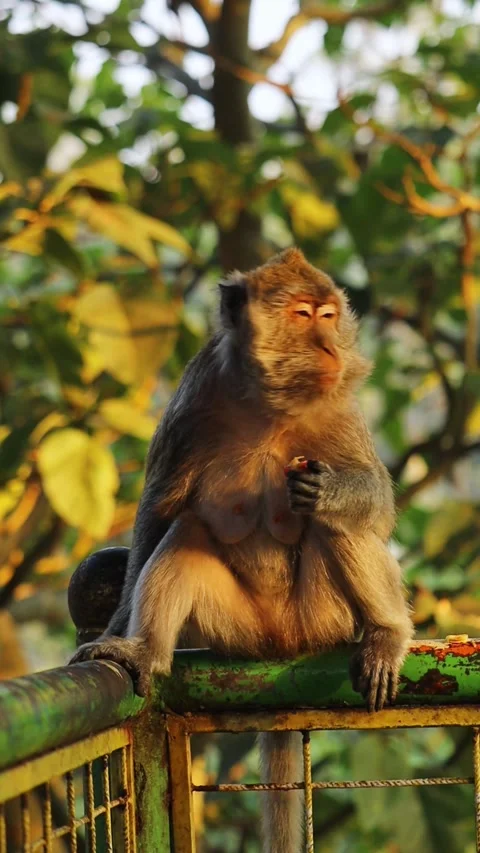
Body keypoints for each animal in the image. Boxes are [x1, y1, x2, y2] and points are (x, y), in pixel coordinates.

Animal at [70, 247, 413, 853]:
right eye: (303, 315)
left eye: (329, 316)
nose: (330, 346)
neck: (269, 404)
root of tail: (285, 646)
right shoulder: (195, 396)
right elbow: (160, 511)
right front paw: (114, 627)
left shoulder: (340, 404)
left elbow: (374, 504)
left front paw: (331, 490)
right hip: (239, 631)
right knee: (186, 531)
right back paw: (146, 652)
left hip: (324, 618)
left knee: (336, 526)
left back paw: (386, 632)